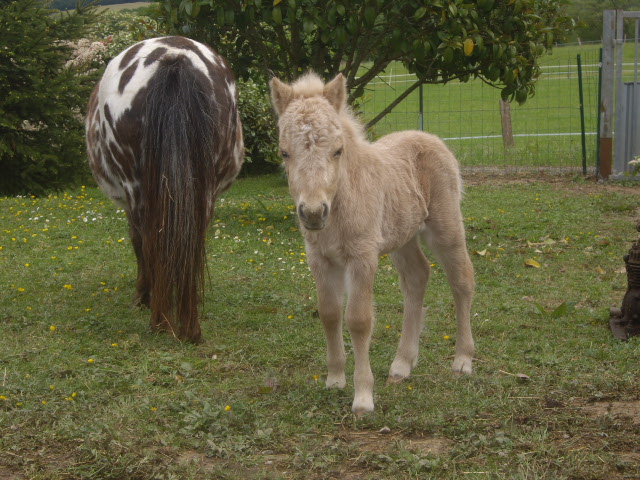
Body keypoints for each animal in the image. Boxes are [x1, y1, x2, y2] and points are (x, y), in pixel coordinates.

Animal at [86, 37, 244, 344]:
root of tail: (174, 56)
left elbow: (138, 244)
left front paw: (143, 297)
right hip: (202, 191)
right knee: (192, 242)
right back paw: (189, 326)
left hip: (137, 190)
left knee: (150, 241)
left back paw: (160, 321)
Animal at [270, 73, 476, 414]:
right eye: (284, 153)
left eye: (338, 150)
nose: (312, 213)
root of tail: (428, 137)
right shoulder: (319, 259)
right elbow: (329, 313)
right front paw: (335, 379)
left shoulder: (362, 257)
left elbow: (358, 320)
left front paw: (363, 397)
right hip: (403, 236)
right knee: (417, 277)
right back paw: (402, 365)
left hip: (445, 227)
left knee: (461, 281)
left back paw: (463, 360)